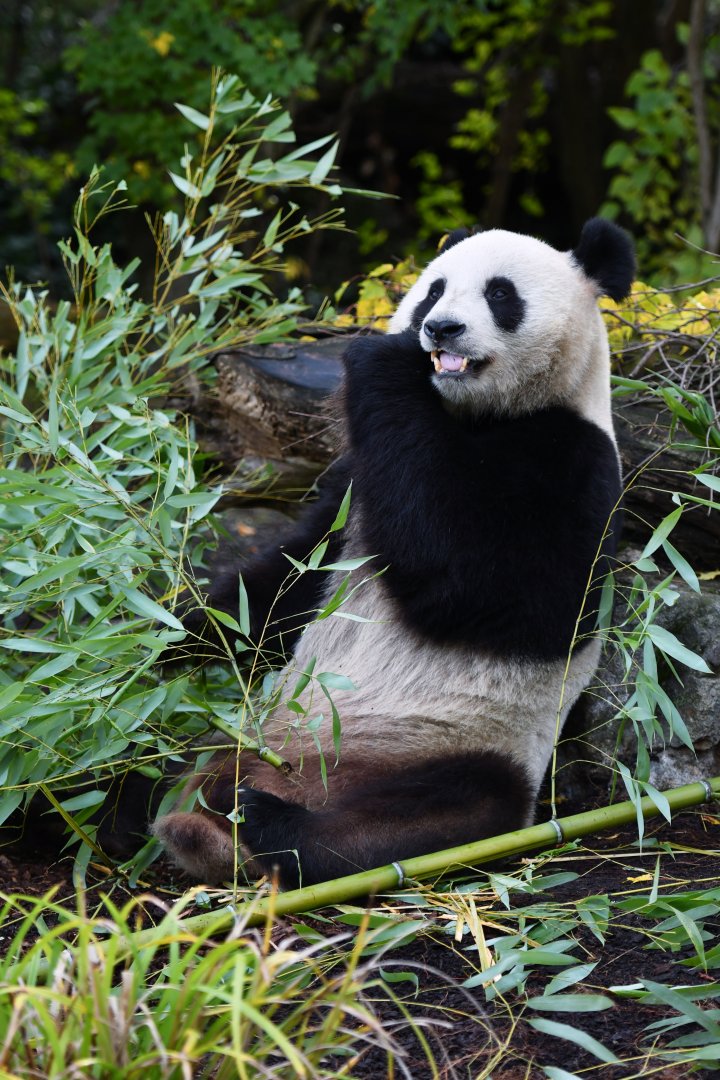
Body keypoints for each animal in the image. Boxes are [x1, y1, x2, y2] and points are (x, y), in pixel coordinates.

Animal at [153, 218, 634, 889]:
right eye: (434, 290)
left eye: (501, 295)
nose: (440, 328)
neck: (476, 414)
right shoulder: (355, 481)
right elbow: (283, 583)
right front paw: (168, 639)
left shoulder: (574, 462)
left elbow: (494, 592)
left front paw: (383, 361)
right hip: (234, 735)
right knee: (139, 766)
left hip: (461, 745)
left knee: (429, 818)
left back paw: (271, 823)